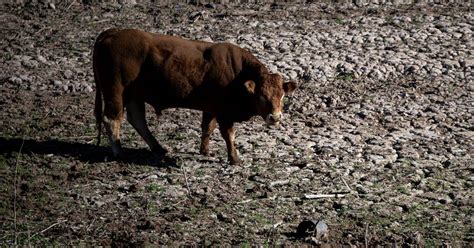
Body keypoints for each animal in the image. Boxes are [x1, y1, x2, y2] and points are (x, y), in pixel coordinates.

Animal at [92, 28, 296, 165]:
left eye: (282, 96)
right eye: (262, 96)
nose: (275, 117)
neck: (238, 74)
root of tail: (111, 33)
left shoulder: (211, 107)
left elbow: (207, 127)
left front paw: (205, 150)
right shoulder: (224, 112)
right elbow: (228, 134)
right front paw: (234, 158)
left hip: (134, 94)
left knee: (137, 119)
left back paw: (158, 147)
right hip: (115, 90)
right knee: (111, 119)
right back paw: (119, 152)